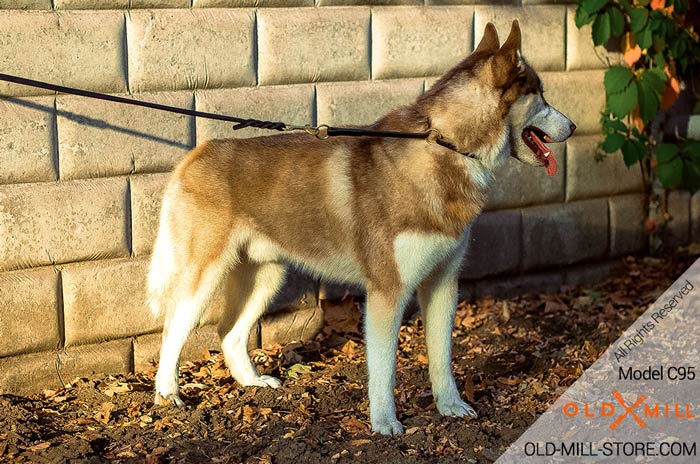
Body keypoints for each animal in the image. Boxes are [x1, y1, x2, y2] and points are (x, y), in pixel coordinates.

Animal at [146, 20, 576, 436]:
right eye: (540, 94)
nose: (572, 125)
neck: (444, 146)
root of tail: (195, 154)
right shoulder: (387, 291)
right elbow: (384, 369)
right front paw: (385, 423)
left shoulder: (443, 282)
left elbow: (442, 357)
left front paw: (451, 406)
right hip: (203, 277)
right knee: (172, 329)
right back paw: (168, 394)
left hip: (266, 276)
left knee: (229, 332)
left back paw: (252, 382)